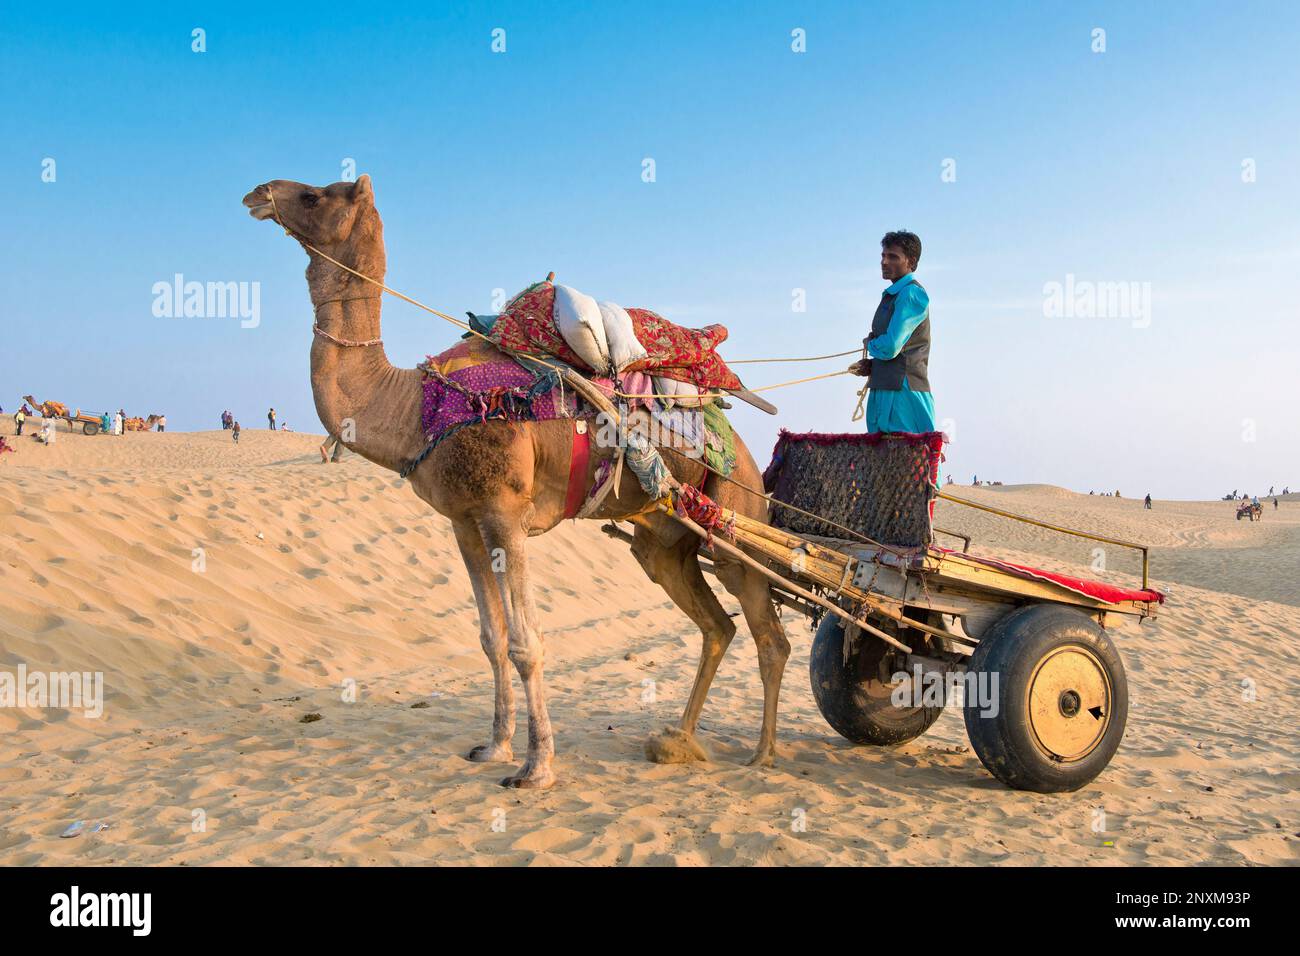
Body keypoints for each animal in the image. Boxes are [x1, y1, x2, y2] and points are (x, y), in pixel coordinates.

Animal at [242, 175, 790, 789]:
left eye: (316, 195)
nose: (259, 193)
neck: (414, 409)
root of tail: (746, 451)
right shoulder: (464, 522)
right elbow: (492, 638)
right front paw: (494, 746)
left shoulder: (506, 515)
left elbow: (528, 643)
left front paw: (536, 767)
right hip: (664, 540)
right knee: (718, 626)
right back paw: (681, 740)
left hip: (736, 517)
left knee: (771, 634)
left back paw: (762, 753)